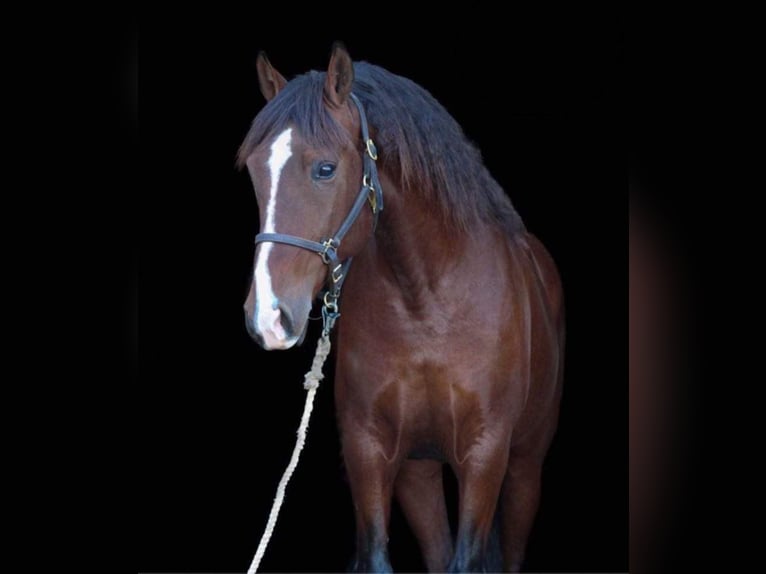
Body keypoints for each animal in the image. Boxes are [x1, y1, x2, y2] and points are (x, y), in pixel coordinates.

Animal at [243, 42, 568, 572]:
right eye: (254, 170)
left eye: (325, 168)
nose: (269, 316)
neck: (426, 304)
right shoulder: (368, 449)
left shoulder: (486, 452)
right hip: (419, 473)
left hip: (525, 469)